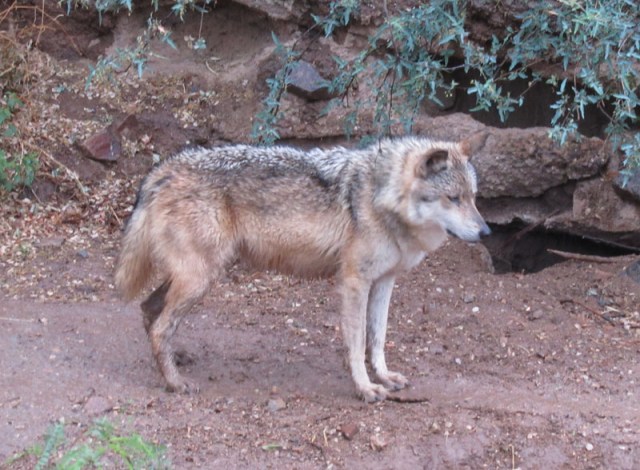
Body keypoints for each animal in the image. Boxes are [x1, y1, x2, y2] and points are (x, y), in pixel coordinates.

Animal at [115, 133, 491, 402]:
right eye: (452, 199)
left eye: (473, 198)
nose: (486, 231)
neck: (380, 196)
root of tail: (160, 170)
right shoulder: (354, 282)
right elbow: (357, 343)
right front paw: (365, 388)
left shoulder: (384, 281)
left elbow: (378, 338)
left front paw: (383, 376)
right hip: (201, 278)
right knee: (160, 326)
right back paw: (175, 383)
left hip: (196, 277)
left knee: (149, 311)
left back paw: (171, 363)